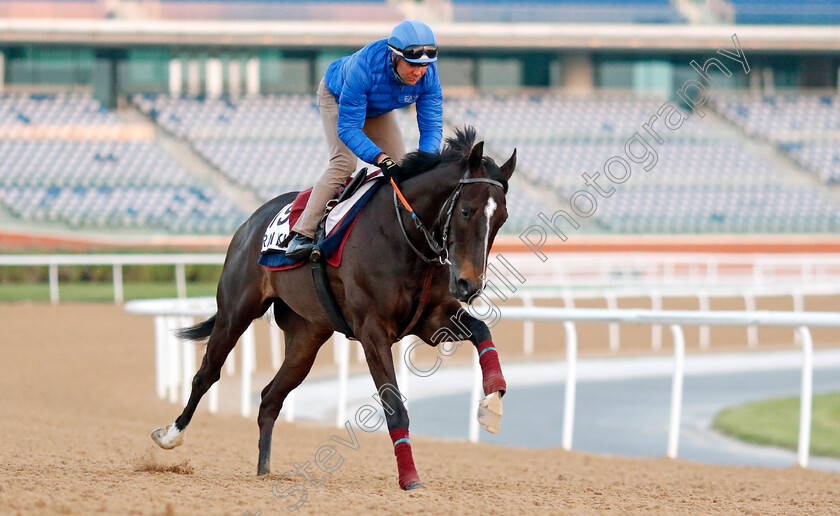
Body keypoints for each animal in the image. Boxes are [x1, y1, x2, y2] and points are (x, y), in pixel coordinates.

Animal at [152, 127, 520, 490]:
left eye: (501, 218)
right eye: (466, 211)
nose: (469, 285)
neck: (405, 235)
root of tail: (250, 222)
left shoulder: (432, 320)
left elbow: (482, 331)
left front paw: (493, 403)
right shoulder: (372, 331)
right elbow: (394, 406)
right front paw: (410, 479)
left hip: (307, 337)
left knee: (270, 397)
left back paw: (264, 470)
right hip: (235, 311)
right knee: (206, 374)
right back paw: (170, 435)